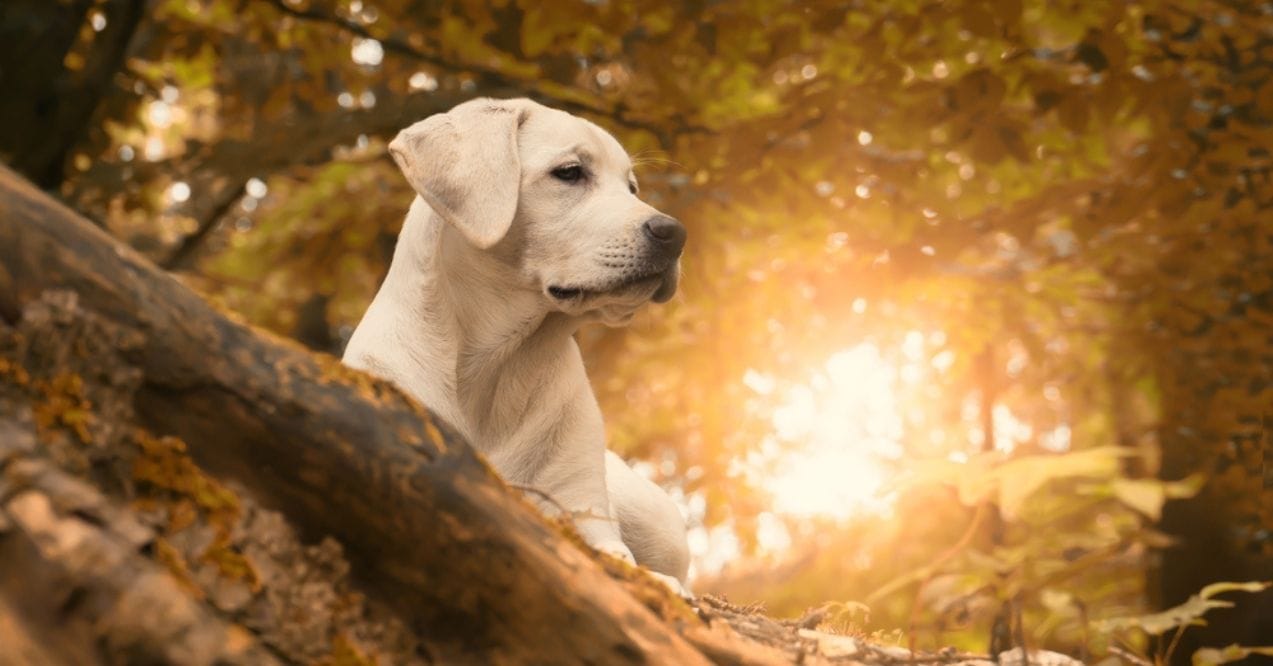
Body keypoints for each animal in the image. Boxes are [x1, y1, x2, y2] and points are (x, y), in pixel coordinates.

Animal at [343, 98, 692, 588]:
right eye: (570, 172)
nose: (675, 234)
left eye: (631, 187)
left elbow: (617, 554)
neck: (498, 363)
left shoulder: (579, 504)